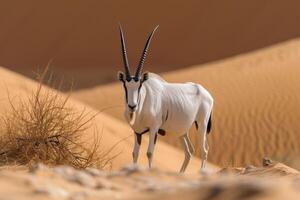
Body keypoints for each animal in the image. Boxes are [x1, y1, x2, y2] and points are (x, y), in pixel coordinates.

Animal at [117, 24, 213, 172]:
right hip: (182, 131)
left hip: (201, 124)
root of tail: (206, 92)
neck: (143, 101)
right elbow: (135, 153)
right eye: (125, 85)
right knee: (189, 151)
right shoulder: (137, 132)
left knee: (204, 150)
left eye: (139, 85)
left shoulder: (154, 129)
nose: (132, 106)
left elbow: (149, 153)